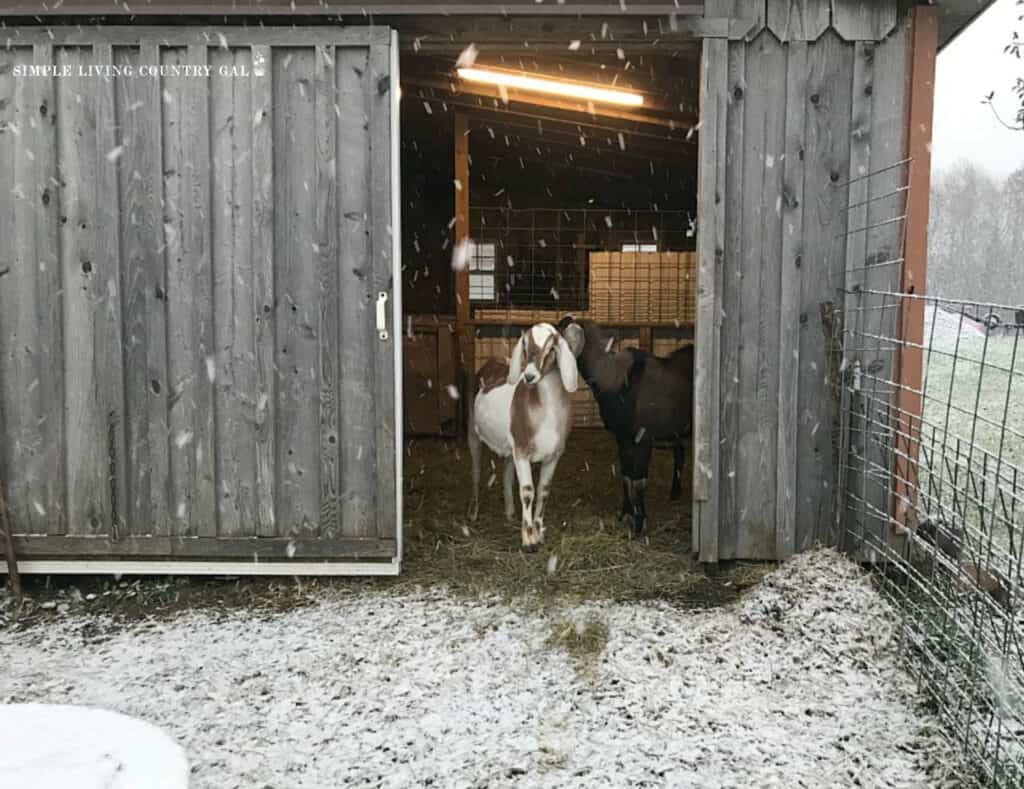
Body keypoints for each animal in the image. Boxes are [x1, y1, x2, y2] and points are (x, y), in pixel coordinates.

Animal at [466, 321, 581, 548]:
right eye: (525, 347)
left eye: (551, 348)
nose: (529, 376)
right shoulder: (522, 449)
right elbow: (528, 490)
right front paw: (529, 540)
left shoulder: (554, 454)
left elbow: (543, 491)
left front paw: (539, 533)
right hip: (473, 432)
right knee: (475, 471)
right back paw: (473, 514)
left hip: (510, 444)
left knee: (506, 472)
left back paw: (510, 513)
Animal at [561, 315, 696, 536]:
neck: (614, 379)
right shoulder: (622, 437)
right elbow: (626, 475)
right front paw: (625, 513)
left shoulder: (643, 439)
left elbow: (639, 480)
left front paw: (640, 523)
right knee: (679, 452)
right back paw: (675, 492)